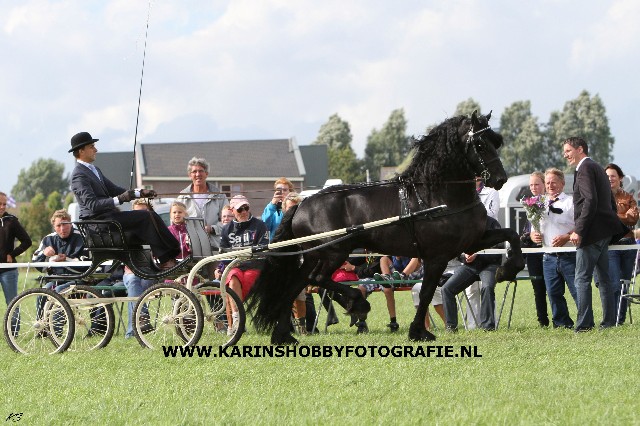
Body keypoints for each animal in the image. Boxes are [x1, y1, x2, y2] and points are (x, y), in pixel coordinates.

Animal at [248, 111, 524, 344]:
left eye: (495, 141)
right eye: (480, 144)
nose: (500, 179)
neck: (436, 195)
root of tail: (301, 204)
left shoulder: (473, 241)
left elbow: (511, 235)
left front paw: (507, 269)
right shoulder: (437, 256)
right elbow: (426, 292)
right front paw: (418, 332)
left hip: (315, 256)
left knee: (295, 286)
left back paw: (283, 336)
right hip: (333, 252)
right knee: (316, 280)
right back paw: (356, 304)